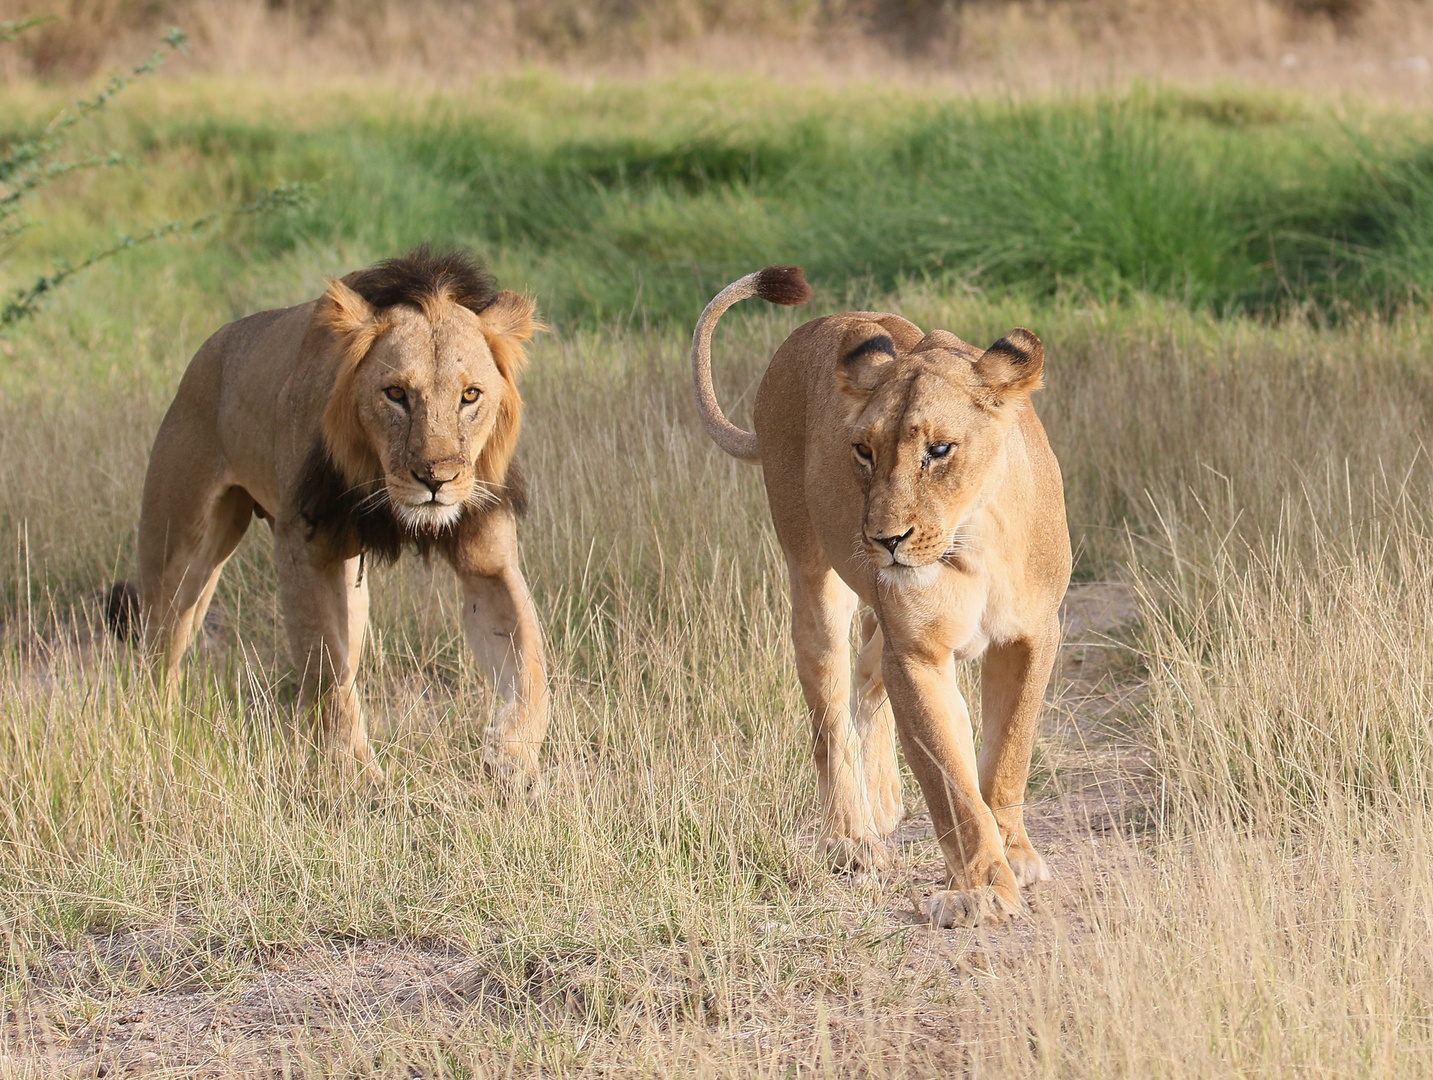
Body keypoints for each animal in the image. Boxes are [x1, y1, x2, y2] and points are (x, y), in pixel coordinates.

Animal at [116, 246, 547, 784]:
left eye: (470, 396)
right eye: (396, 394)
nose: (436, 479)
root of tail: (212, 346)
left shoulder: (488, 560)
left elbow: (531, 665)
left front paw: (511, 757)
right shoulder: (303, 548)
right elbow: (327, 673)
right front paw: (356, 778)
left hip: (350, 589)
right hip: (181, 549)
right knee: (161, 646)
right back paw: (159, 730)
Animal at [687, 267, 1071, 928]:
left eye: (938, 450)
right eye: (863, 451)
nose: (885, 540)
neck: (976, 541)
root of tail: (814, 326)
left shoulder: (1032, 635)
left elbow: (1009, 754)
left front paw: (1015, 854)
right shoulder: (917, 652)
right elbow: (952, 783)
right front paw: (982, 891)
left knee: (868, 678)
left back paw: (886, 802)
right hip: (814, 581)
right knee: (831, 716)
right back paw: (853, 839)